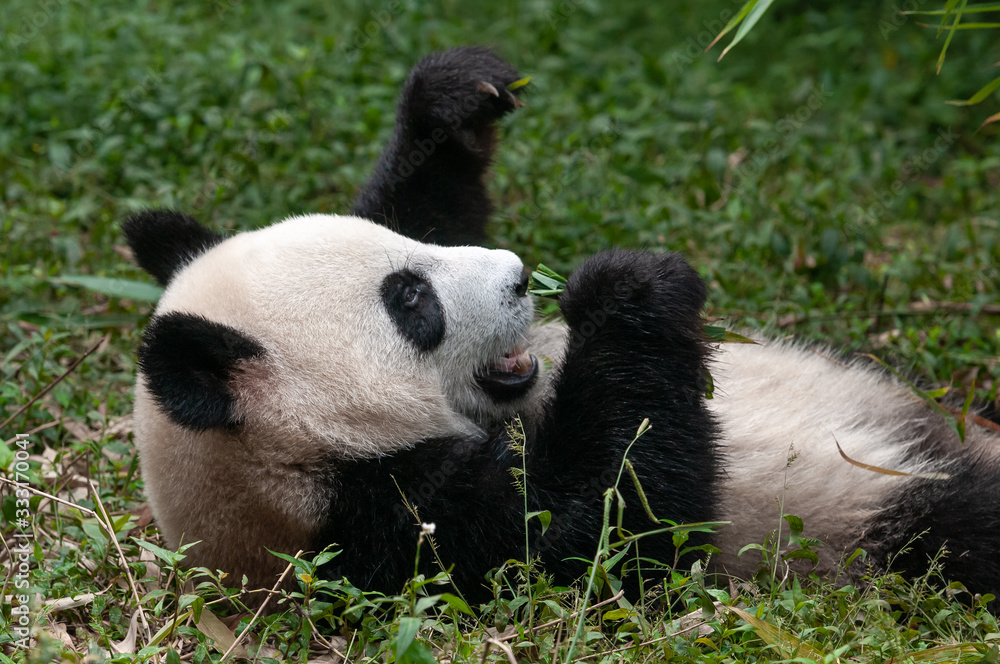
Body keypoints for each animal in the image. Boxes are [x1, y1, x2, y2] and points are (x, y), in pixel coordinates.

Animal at [125, 47, 1000, 604]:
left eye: (409, 259)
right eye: (412, 302)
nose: (518, 276)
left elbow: (425, 195)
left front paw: (455, 96)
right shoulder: (404, 530)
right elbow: (613, 524)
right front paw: (630, 289)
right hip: (862, 514)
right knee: (956, 527)